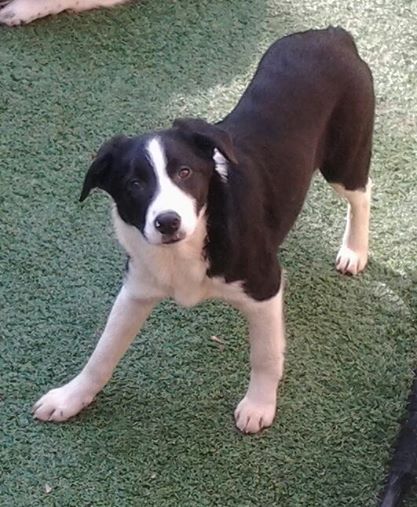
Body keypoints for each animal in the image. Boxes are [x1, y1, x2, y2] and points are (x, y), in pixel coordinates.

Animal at [32, 27, 374, 433]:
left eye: (185, 172)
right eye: (134, 184)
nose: (167, 222)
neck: (190, 244)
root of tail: (332, 35)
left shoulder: (266, 285)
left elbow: (265, 353)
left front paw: (259, 405)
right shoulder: (137, 288)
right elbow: (103, 351)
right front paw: (70, 397)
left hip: (344, 158)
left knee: (363, 192)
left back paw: (354, 251)